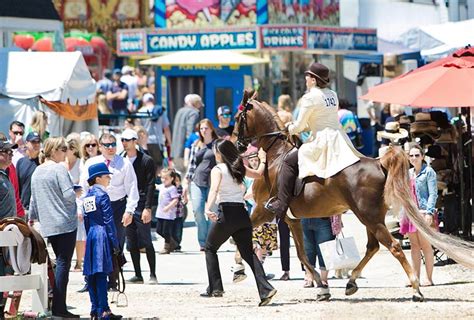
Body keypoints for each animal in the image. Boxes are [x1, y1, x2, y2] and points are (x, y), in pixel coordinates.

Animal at [232, 90, 474, 302]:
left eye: (237, 118)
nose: (236, 144)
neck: (275, 155)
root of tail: (379, 162)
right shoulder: (292, 219)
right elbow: (302, 254)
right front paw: (322, 288)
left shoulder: (263, 209)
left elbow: (242, 236)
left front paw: (238, 270)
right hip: (371, 216)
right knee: (372, 247)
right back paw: (351, 283)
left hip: (368, 216)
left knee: (393, 247)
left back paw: (415, 289)